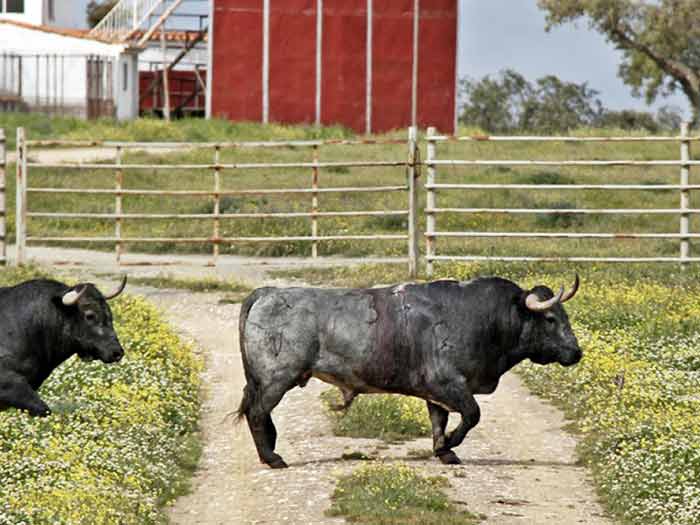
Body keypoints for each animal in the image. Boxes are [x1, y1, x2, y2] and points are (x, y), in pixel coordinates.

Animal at [238, 274, 584, 466]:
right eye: (550, 318)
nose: (576, 352)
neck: (483, 317)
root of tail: (268, 293)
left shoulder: (437, 392)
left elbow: (439, 420)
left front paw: (444, 451)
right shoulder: (449, 383)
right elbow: (472, 415)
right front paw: (450, 444)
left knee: (261, 415)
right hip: (276, 379)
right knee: (257, 414)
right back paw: (272, 458)